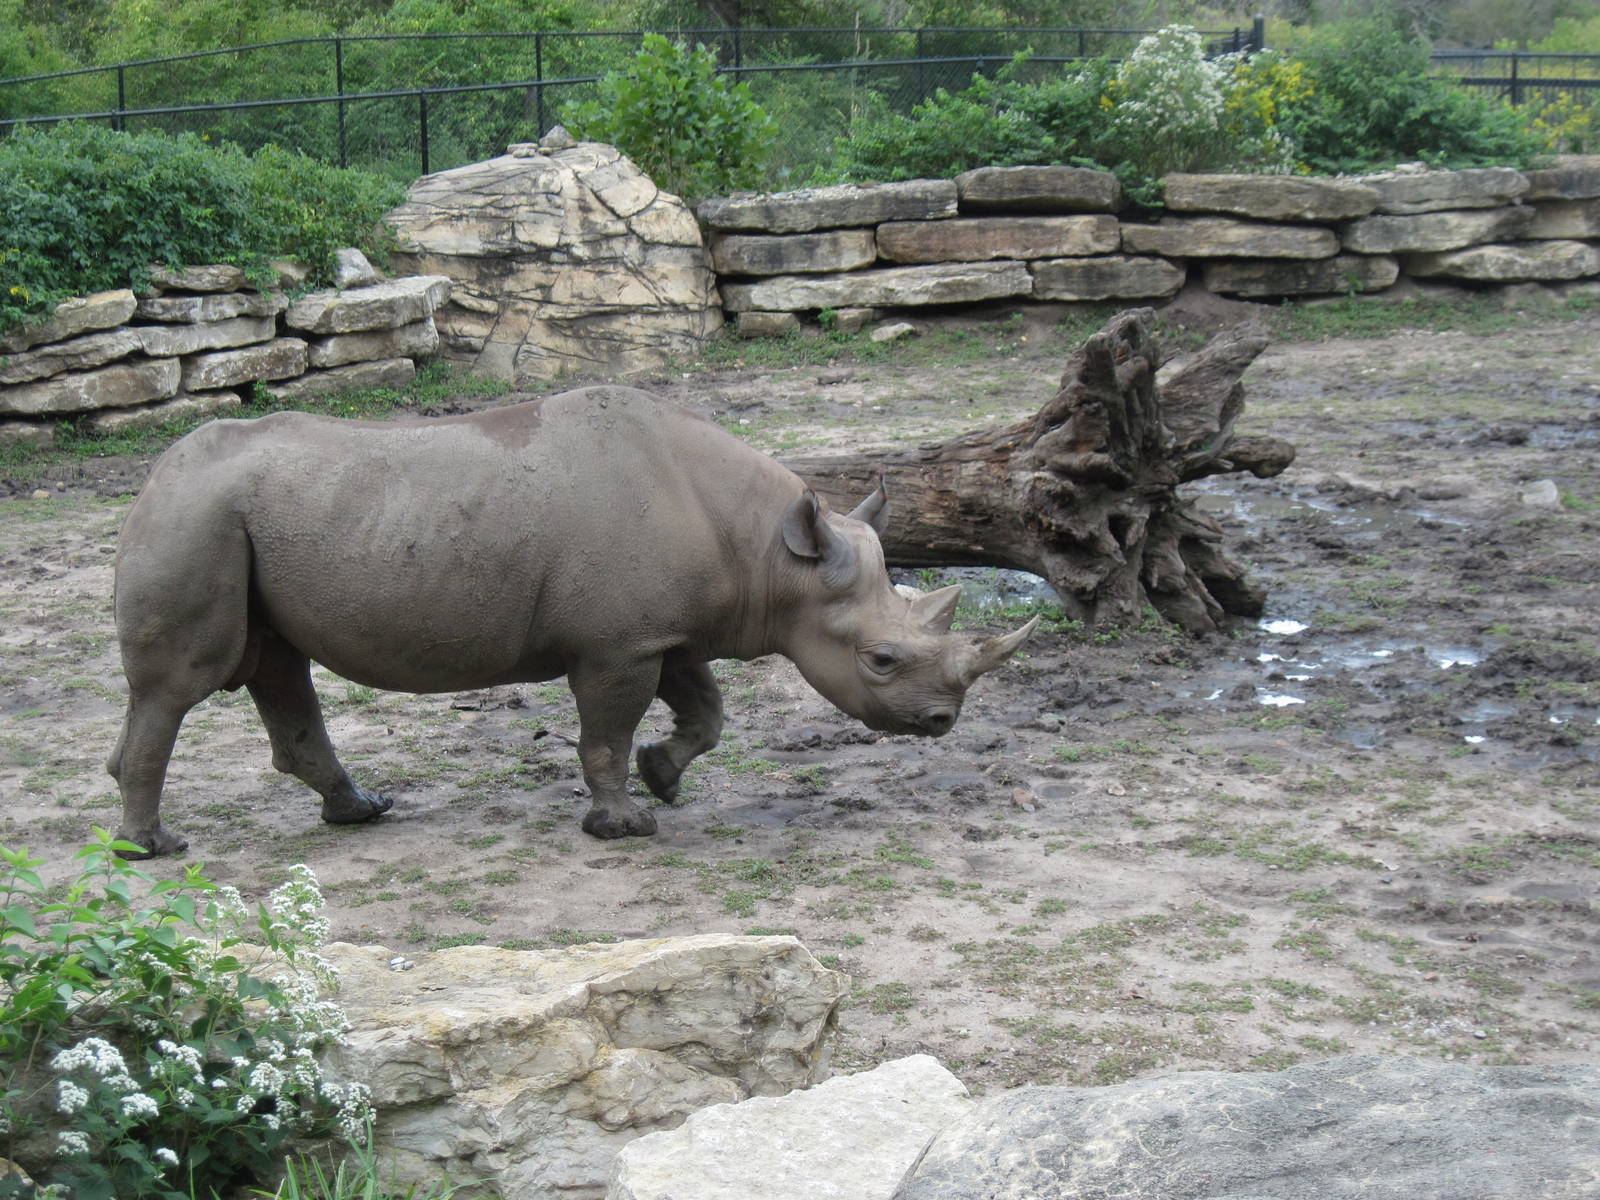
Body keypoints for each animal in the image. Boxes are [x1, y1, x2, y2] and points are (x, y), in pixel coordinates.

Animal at [107, 387, 1038, 857]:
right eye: (880, 660)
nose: (941, 722)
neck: (773, 555)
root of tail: (154, 472)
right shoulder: (618, 643)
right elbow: (605, 731)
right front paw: (625, 825)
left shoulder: (665, 628)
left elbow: (706, 712)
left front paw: (665, 777)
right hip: (197, 516)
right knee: (181, 688)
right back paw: (152, 850)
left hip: (236, 517)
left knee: (278, 667)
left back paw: (361, 812)